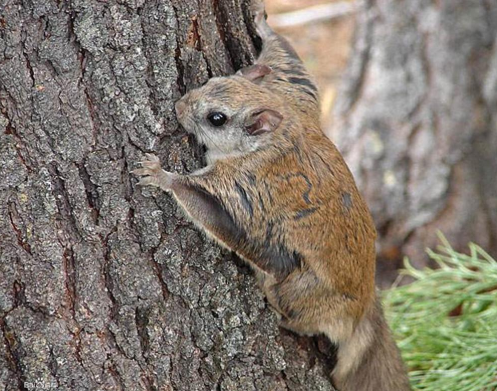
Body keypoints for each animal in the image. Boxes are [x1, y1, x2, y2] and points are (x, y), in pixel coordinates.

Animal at [131, 1, 406, 390]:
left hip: (299, 288)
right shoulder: (295, 96)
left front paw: (162, 176)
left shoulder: (244, 186)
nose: (179, 106)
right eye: (213, 80)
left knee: (302, 316)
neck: (276, 136)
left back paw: (284, 317)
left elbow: (214, 212)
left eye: (217, 118)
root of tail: (364, 306)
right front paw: (263, 25)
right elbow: (291, 64)